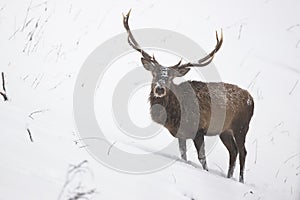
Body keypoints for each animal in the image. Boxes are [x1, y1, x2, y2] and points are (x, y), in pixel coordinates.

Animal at [122, 10, 253, 183]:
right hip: (225, 130)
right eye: (154, 73)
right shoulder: (181, 133)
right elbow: (183, 155)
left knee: (243, 152)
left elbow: (202, 158)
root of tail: (251, 99)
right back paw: (229, 177)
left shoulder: (199, 130)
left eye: (171, 78)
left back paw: (241, 181)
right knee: (233, 151)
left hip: (241, 127)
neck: (176, 112)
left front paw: (206, 172)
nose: (159, 89)